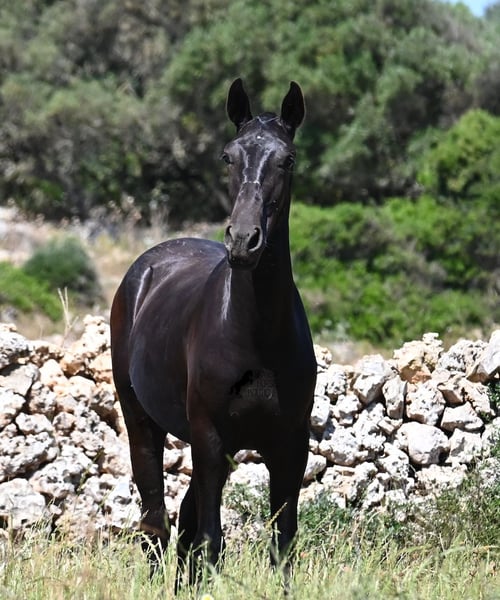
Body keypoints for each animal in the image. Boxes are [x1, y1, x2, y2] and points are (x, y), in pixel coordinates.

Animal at [110, 78, 317, 588]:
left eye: (288, 159)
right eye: (228, 156)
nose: (243, 241)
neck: (255, 335)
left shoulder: (290, 443)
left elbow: (282, 542)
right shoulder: (209, 436)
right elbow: (210, 540)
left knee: (182, 524)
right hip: (143, 421)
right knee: (156, 523)